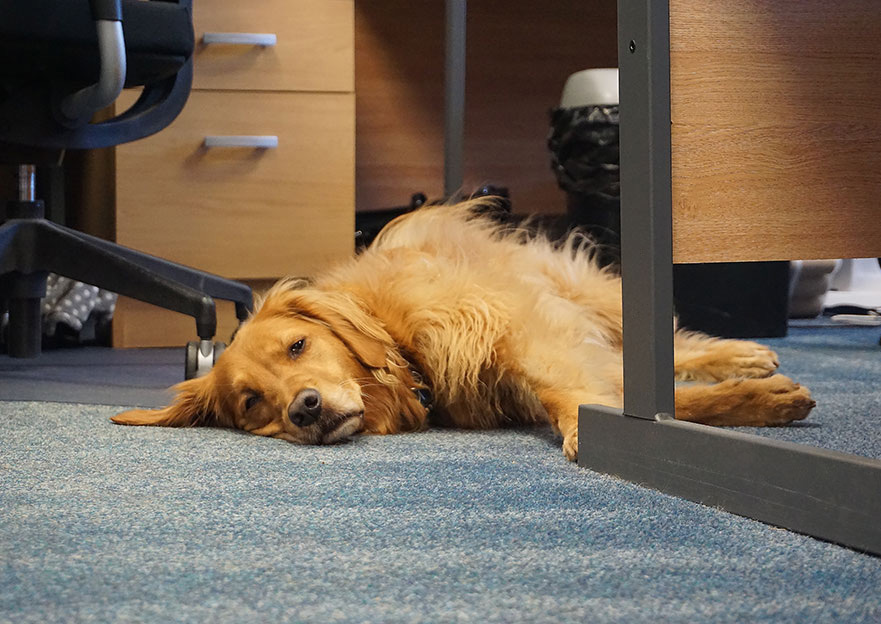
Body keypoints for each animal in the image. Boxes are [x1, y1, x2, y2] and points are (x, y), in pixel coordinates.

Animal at [113, 200, 816, 458]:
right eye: (252, 403)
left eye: (298, 345)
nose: (305, 408)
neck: (403, 350)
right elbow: (632, 401)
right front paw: (765, 405)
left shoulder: (519, 332)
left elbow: (576, 394)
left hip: (584, 293)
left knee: (665, 341)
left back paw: (743, 354)